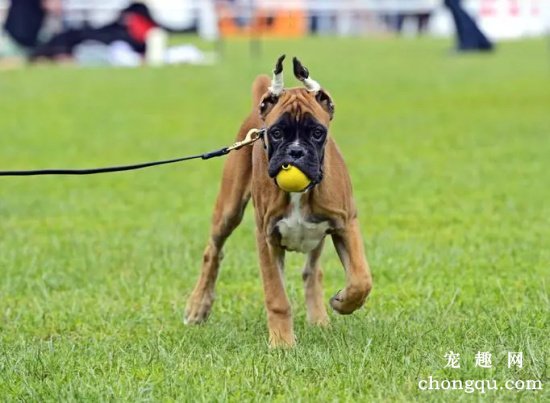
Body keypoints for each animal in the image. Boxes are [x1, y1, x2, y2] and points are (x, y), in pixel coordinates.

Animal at [187, 55, 376, 348]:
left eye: (317, 132)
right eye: (276, 133)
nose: (295, 152)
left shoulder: (346, 224)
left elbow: (361, 279)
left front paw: (343, 302)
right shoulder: (267, 238)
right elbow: (277, 296)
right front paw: (282, 343)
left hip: (316, 238)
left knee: (312, 273)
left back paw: (319, 320)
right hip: (229, 210)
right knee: (213, 252)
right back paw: (198, 307)